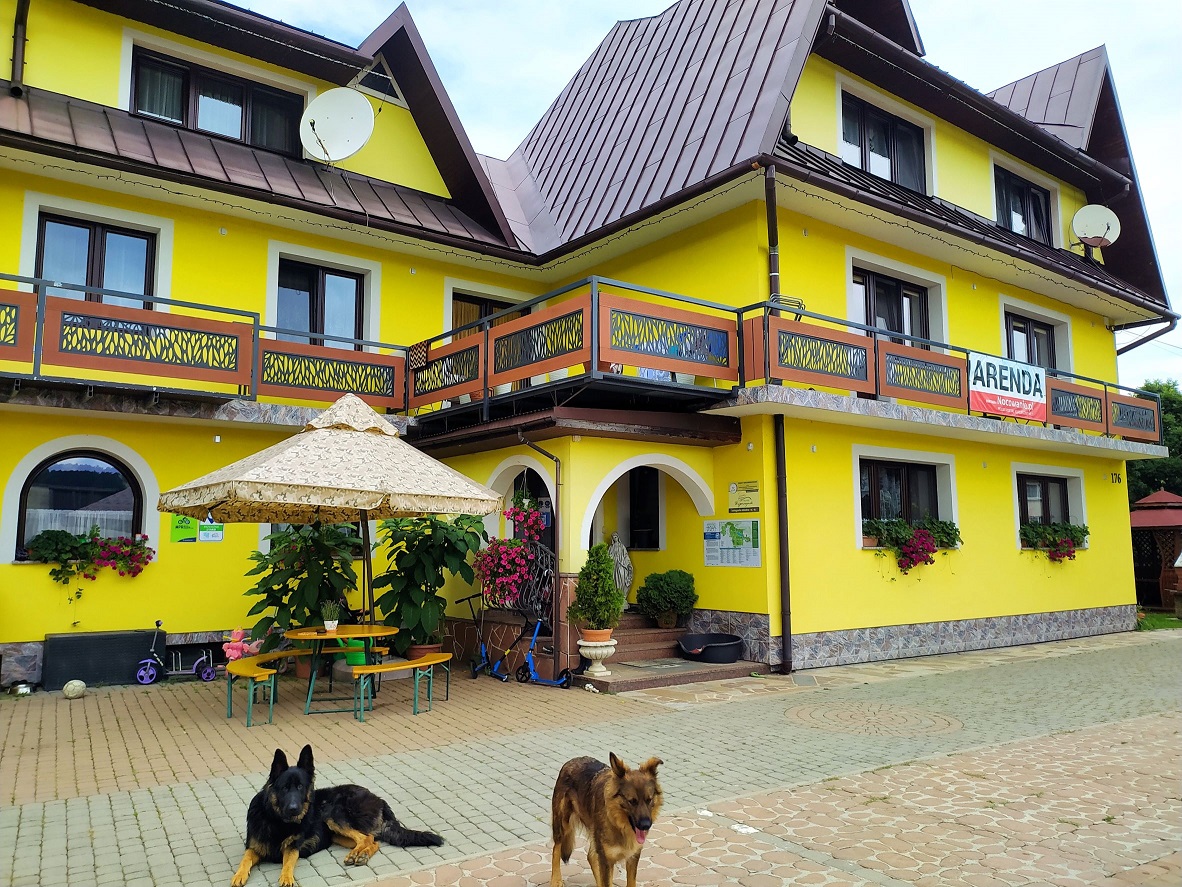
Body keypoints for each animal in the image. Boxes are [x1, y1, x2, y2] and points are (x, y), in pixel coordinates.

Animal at [231, 745, 444, 887]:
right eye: (285, 788)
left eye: (300, 787)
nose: (294, 809)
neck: (277, 820)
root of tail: (380, 799)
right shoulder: (253, 847)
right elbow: (245, 860)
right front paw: (238, 875)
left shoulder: (292, 848)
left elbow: (287, 864)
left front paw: (286, 878)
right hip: (336, 834)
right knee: (373, 841)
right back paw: (360, 854)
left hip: (332, 814)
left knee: (366, 837)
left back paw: (358, 855)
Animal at [550, 752, 663, 887]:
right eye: (631, 801)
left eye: (649, 800)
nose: (646, 825)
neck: (618, 823)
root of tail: (572, 761)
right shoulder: (606, 859)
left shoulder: (633, 856)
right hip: (562, 824)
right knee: (556, 849)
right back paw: (556, 879)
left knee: (591, 856)